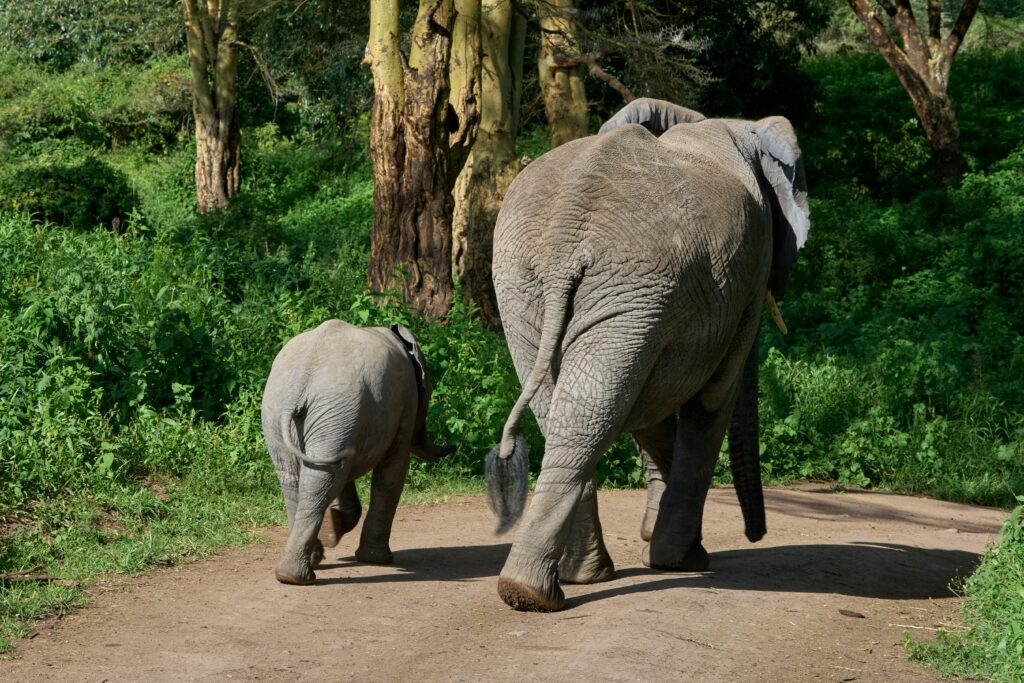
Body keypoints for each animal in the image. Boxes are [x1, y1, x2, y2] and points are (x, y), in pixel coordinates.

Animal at [262, 317, 454, 585]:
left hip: (296, 415)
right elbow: (392, 472)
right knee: (321, 477)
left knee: (302, 477)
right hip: (329, 413)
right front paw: (377, 559)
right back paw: (300, 573)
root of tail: (302, 379)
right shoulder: (406, 404)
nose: (453, 445)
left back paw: (297, 570)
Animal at [485, 97, 806, 614]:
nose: (755, 535)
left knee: (577, 408)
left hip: (540, 287)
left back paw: (550, 586)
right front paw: (683, 561)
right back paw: (543, 590)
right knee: (598, 404)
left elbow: (646, 405)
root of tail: (565, 232)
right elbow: (710, 401)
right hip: (619, 283)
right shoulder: (744, 280)